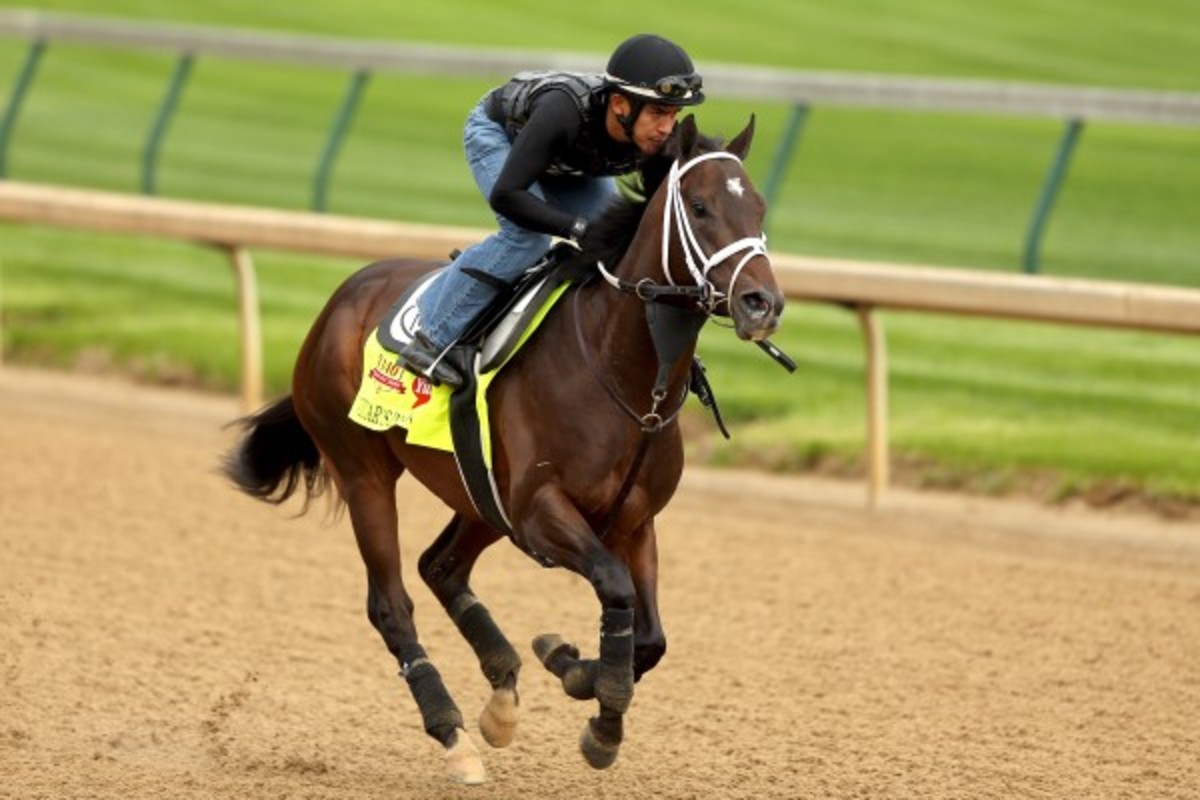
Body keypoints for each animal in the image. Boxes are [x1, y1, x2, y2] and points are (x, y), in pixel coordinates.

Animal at [223, 115, 787, 786]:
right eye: (700, 208)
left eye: (758, 208)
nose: (763, 303)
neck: (622, 376)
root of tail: (340, 300)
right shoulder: (540, 512)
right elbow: (616, 589)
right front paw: (594, 701)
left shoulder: (635, 520)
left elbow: (650, 637)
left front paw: (578, 676)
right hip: (364, 473)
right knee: (391, 604)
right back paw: (453, 733)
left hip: (477, 494)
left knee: (439, 567)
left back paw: (501, 695)